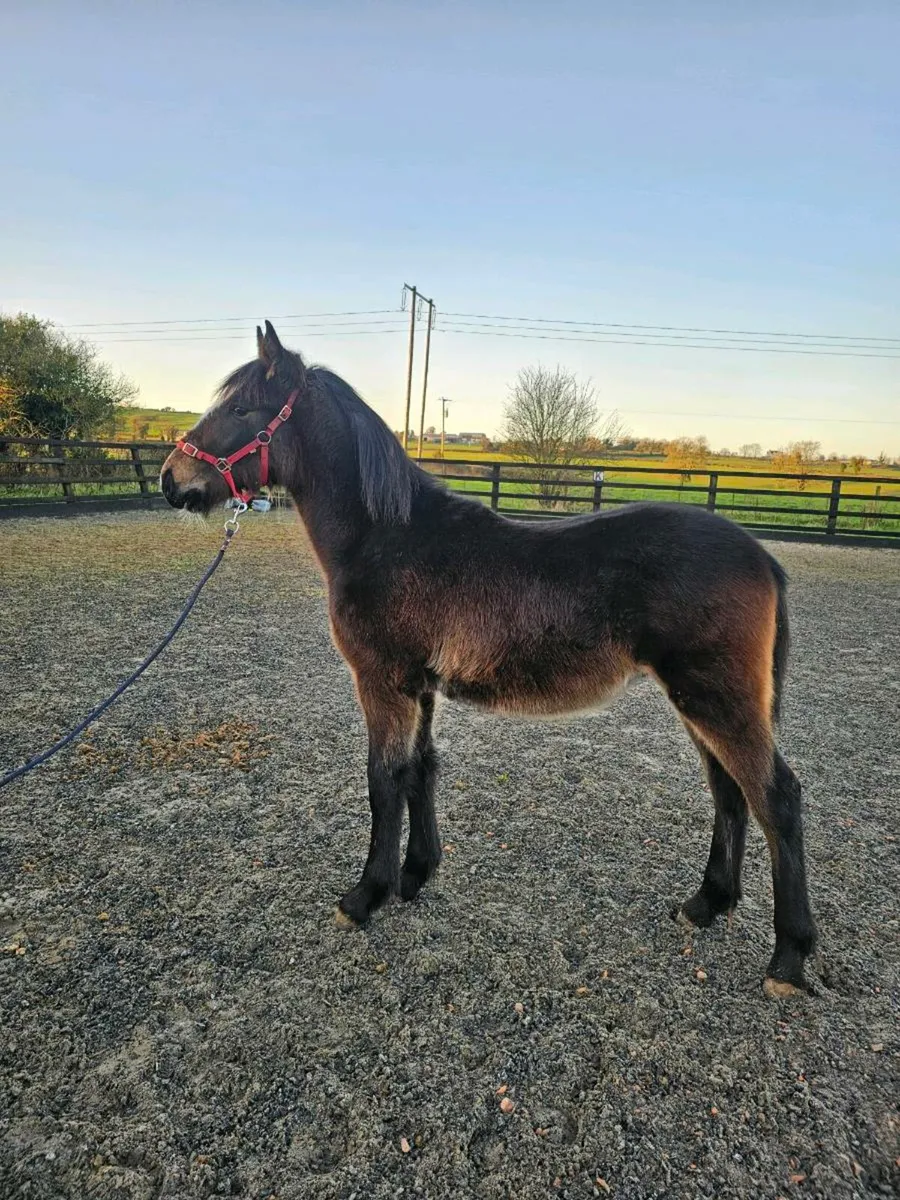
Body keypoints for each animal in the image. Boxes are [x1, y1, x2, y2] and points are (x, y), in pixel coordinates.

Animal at [161, 321, 817, 998]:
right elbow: (420, 769)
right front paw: (416, 874)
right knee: (729, 792)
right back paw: (706, 904)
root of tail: (763, 558)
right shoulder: (418, 685)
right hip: (699, 701)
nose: (170, 479)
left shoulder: (382, 681)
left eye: (243, 410)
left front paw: (365, 895)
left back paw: (788, 960)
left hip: (716, 698)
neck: (387, 536)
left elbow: (383, 779)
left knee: (775, 798)